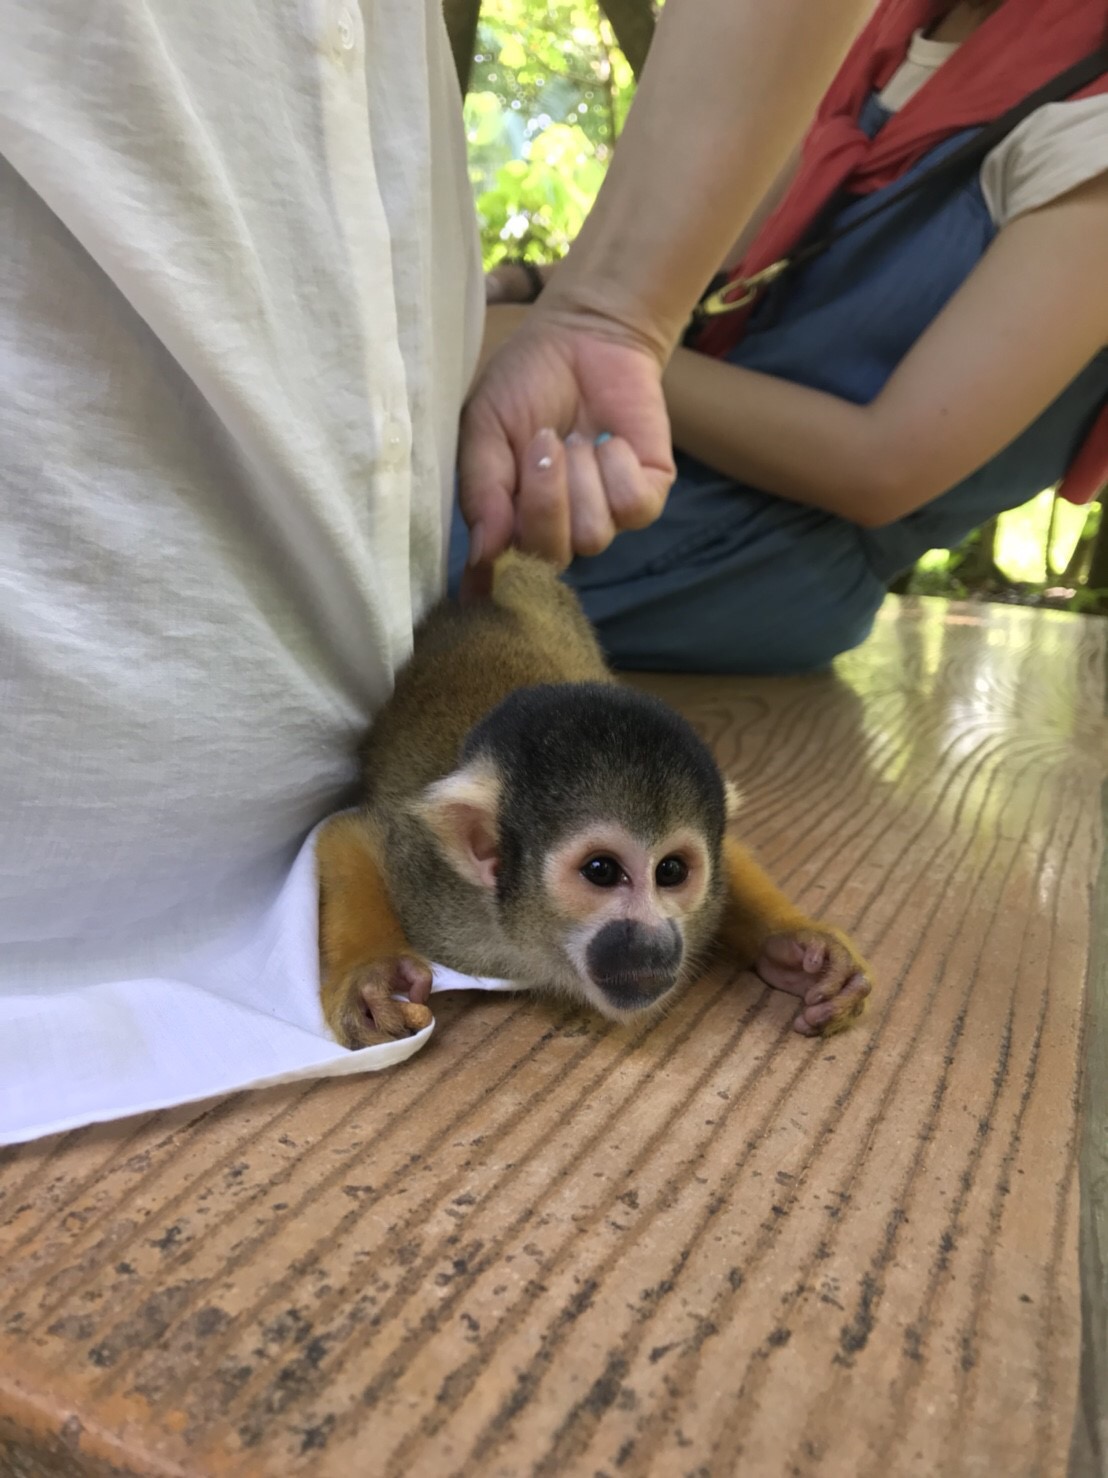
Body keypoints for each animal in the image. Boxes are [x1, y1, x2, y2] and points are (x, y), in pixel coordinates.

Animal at [316, 555, 874, 1052]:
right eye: (601, 871)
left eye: (672, 871)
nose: (654, 941)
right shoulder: (436, 889)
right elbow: (348, 835)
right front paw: (370, 974)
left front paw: (797, 946)